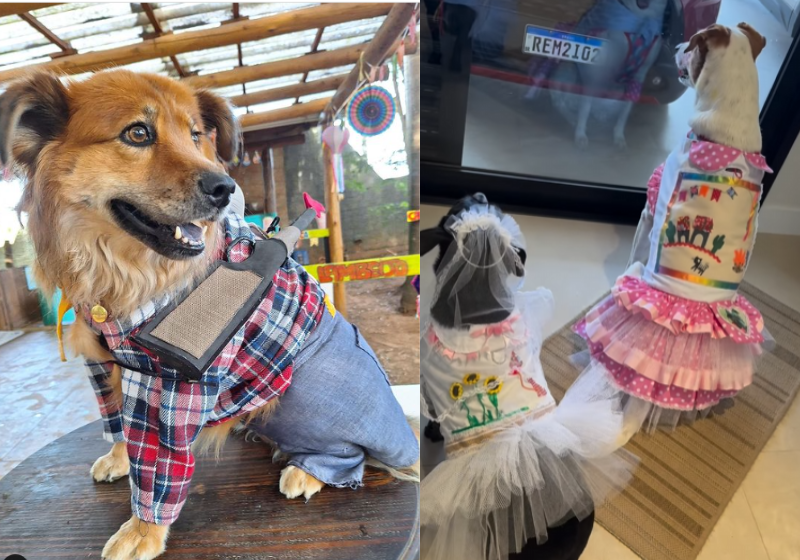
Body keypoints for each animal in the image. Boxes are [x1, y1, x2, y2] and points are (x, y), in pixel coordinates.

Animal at [0, 70, 422, 560]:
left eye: (196, 134)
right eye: (137, 133)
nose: (225, 189)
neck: (120, 271)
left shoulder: (174, 382)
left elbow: (157, 464)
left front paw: (143, 532)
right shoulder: (101, 363)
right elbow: (119, 424)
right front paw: (119, 459)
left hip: (311, 398)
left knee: (354, 455)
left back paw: (306, 471)